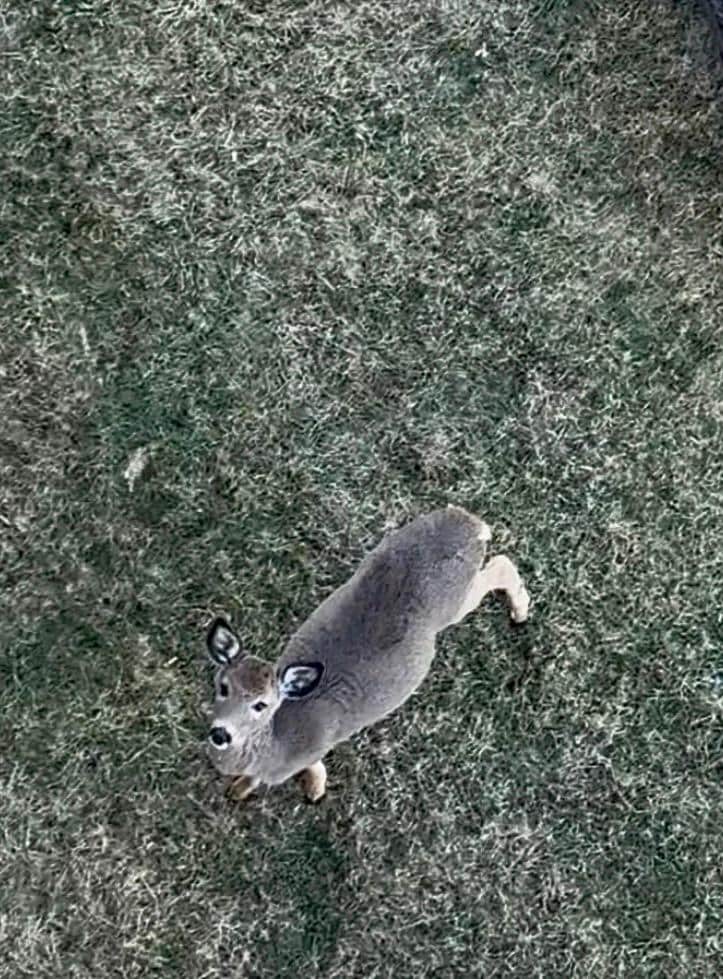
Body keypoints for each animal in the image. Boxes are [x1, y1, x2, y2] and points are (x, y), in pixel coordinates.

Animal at [205, 505, 529, 803]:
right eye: (223, 687)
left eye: (261, 705)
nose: (221, 734)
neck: (277, 745)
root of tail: (472, 524)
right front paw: (238, 790)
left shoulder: (309, 754)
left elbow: (313, 768)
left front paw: (314, 791)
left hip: (454, 603)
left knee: (500, 566)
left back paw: (521, 612)